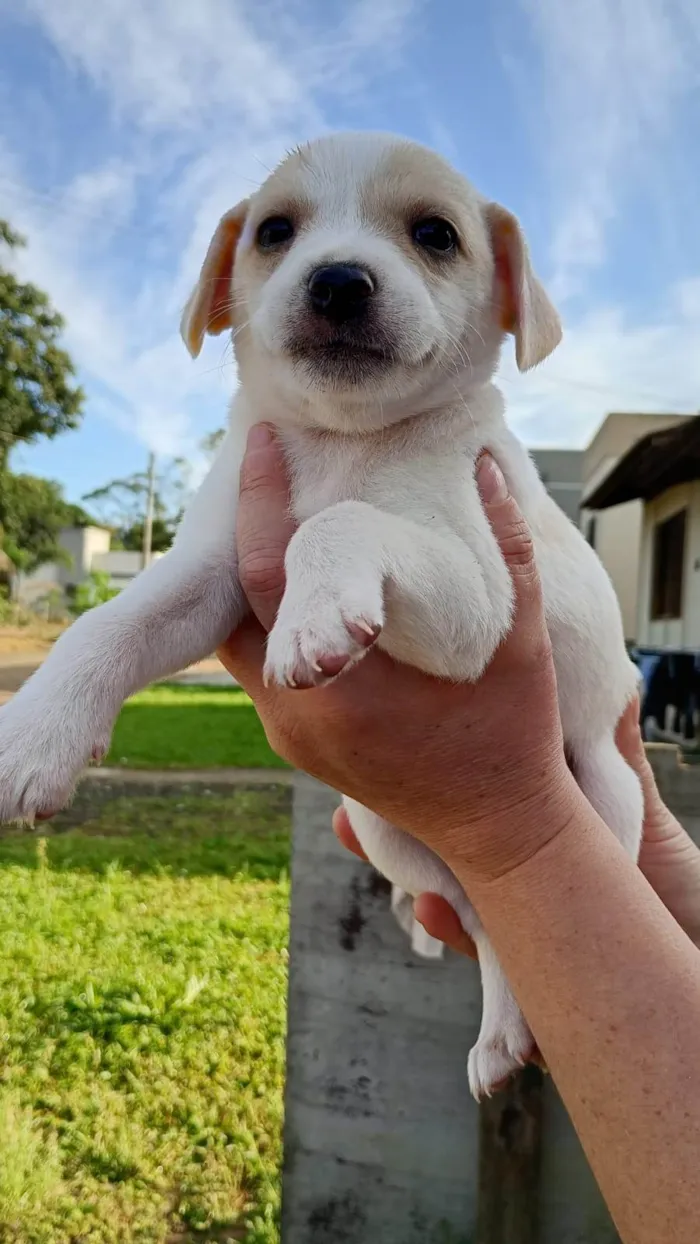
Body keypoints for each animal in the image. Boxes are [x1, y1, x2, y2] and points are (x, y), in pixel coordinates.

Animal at [0, 133, 646, 1099]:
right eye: (274, 232)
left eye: (435, 234)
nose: (339, 280)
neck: (345, 442)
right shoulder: (210, 570)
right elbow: (103, 626)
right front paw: (33, 739)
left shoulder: (482, 599)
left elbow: (339, 523)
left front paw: (315, 619)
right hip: (387, 834)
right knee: (486, 914)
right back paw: (500, 1030)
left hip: (606, 794)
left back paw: (508, 1028)